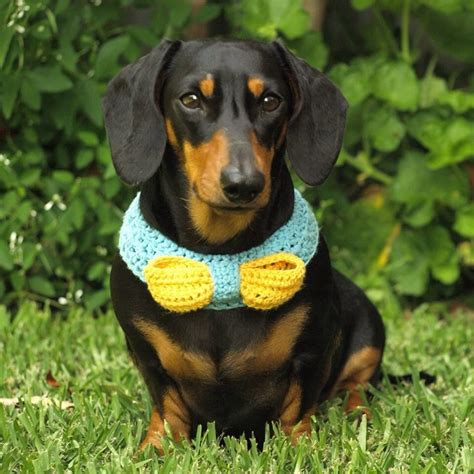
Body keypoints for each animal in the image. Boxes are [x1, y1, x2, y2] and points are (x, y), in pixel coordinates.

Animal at [103, 39, 386, 450]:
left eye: (271, 101)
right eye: (190, 99)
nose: (243, 185)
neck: (220, 253)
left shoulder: (313, 347)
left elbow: (299, 404)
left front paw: (299, 446)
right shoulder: (145, 351)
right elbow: (167, 404)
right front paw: (157, 446)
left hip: (368, 332)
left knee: (357, 384)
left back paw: (358, 414)